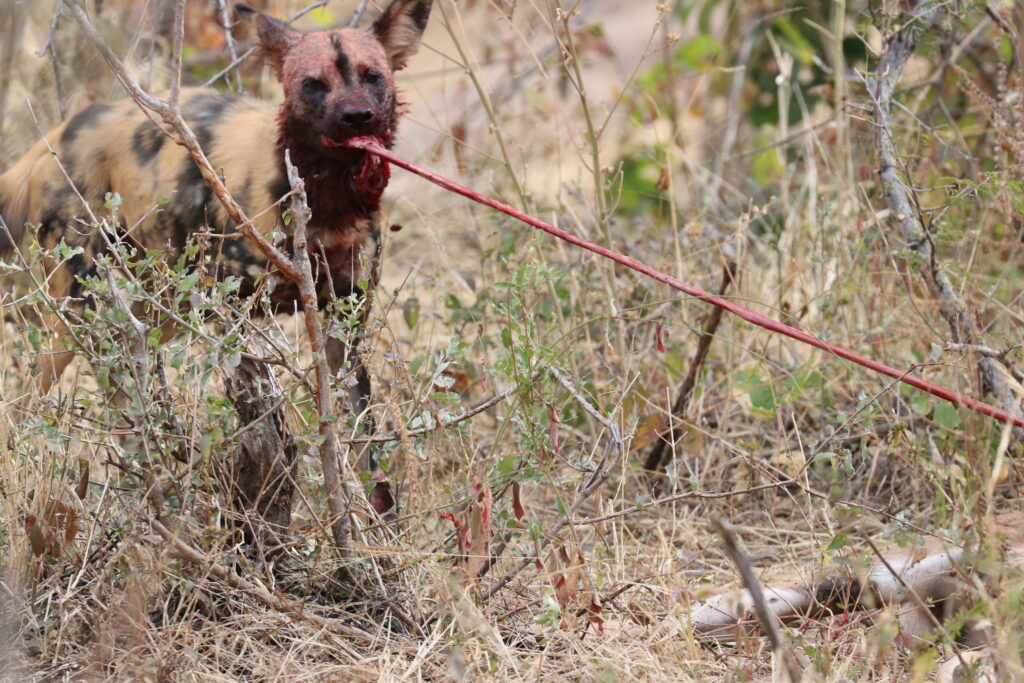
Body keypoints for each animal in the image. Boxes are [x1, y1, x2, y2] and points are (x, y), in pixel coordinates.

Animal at [0, 0, 432, 511]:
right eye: (312, 84)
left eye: (372, 76)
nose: (357, 117)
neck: (328, 200)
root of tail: (51, 140)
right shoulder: (235, 315)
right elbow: (269, 427)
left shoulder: (345, 324)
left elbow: (364, 449)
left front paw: (374, 516)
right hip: (82, 316)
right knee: (35, 400)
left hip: (150, 311)